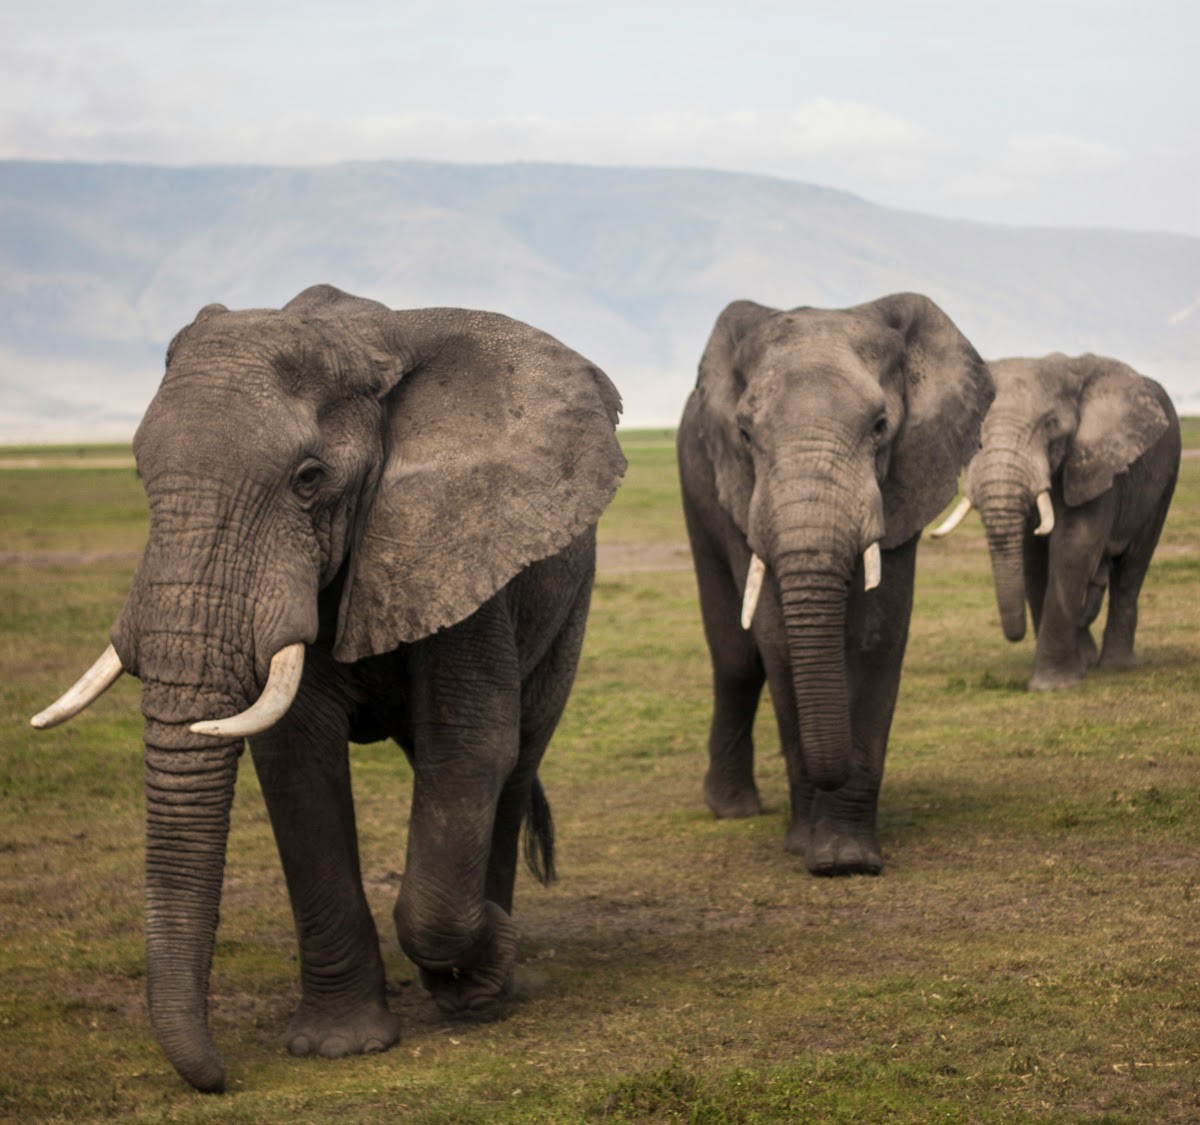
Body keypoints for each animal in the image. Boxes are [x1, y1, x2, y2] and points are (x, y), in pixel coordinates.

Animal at [30, 284, 626, 1093]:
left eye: (309, 479)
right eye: (138, 473)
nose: (218, 1077)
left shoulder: (460, 541)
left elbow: (470, 746)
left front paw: (482, 965)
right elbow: (296, 760)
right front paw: (338, 1046)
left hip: (570, 602)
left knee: (515, 759)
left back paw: (487, 982)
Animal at [677, 292, 994, 876]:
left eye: (880, 425)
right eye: (745, 435)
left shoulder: (904, 479)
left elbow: (877, 635)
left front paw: (846, 859)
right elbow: (778, 640)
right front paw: (809, 849)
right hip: (696, 483)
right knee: (736, 658)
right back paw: (732, 810)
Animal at [930, 353, 1179, 690]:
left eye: (1051, 426)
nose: (1015, 634)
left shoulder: (1095, 463)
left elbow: (1074, 546)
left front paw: (1052, 686)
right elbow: (1033, 559)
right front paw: (1073, 669)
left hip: (1165, 479)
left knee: (1132, 567)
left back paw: (1116, 665)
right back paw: (1089, 659)